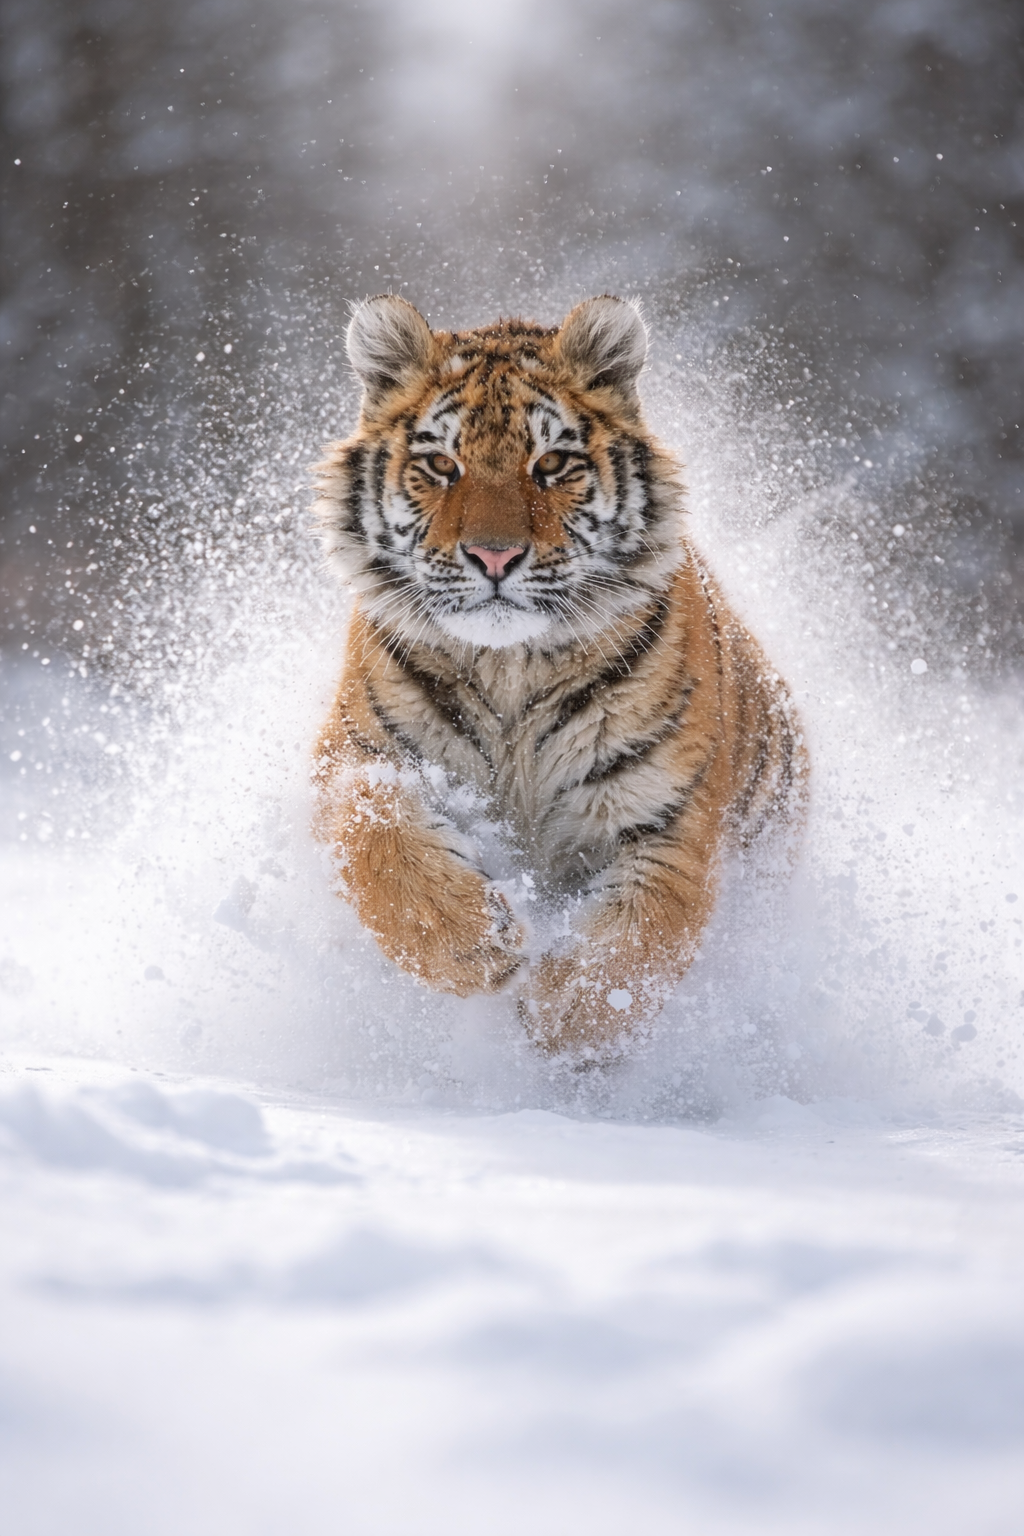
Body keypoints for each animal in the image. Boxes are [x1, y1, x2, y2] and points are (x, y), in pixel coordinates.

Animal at [312, 293, 807, 1058]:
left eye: (551, 463)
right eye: (441, 463)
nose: (493, 556)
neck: (510, 667)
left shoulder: (666, 817)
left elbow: (638, 943)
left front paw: (559, 1019)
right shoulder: (357, 756)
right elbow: (378, 843)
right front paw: (477, 945)